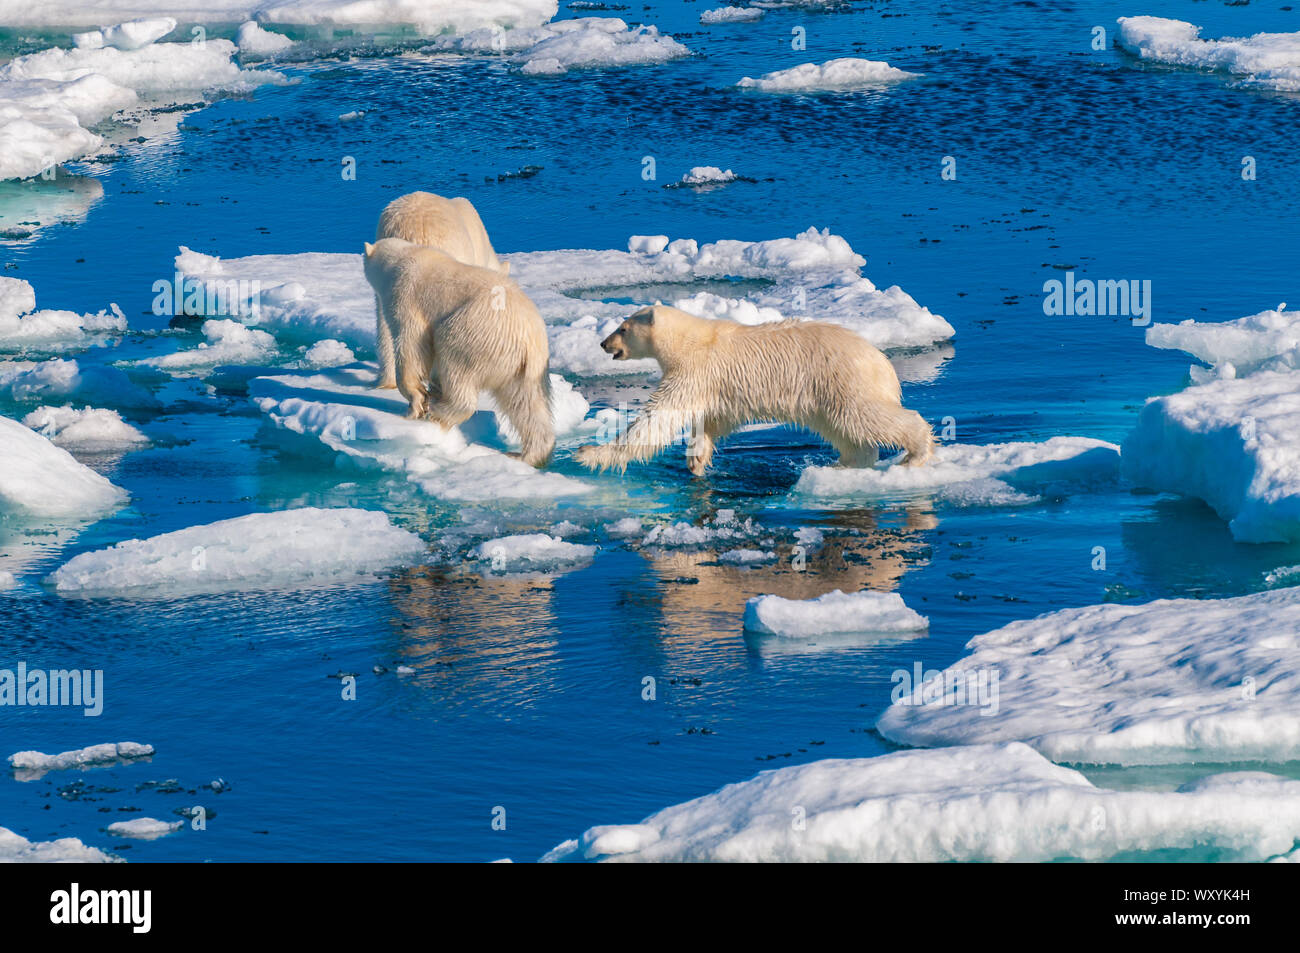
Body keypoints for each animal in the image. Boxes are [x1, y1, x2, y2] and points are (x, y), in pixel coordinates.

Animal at [362, 237, 554, 467]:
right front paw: (431, 390)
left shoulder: (405, 296)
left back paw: (439, 411)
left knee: (455, 362)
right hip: (524, 368)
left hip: (474, 331)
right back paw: (527, 455)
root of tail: (529, 339)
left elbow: (412, 344)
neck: (401, 258)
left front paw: (416, 401)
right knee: (526, 404)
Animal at [573, 304, 933, 476]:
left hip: (843, 379)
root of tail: (883, 363)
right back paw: (842, 465)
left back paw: (915, 454)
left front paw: (589, 452)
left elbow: (657, 419)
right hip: (825, 396)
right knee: (846, 431)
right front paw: (697, 458)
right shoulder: (716, 384)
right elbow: (713, 419)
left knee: (865, 417)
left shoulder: (695, 368)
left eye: (622, 328)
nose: (604, 343)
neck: (687, 340)